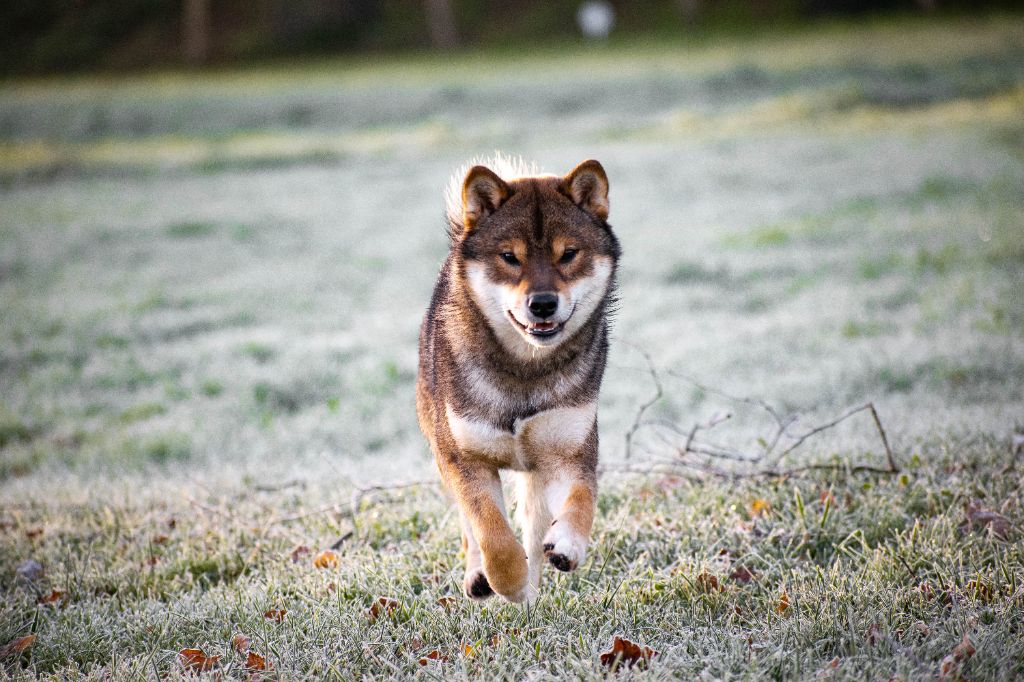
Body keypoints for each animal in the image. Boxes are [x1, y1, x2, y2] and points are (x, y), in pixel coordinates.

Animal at [417, 155, 622, 602]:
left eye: (569, 254)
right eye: (510, 256)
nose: (542, 304)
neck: (525, 369)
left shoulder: (569, 453)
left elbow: (583, 499)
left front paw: (567, 546)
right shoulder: (465, 459)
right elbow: (491, 533)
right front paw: (509, 582)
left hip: (535, 477)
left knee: (532, 525)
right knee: (470, 529)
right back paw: (481, 578)